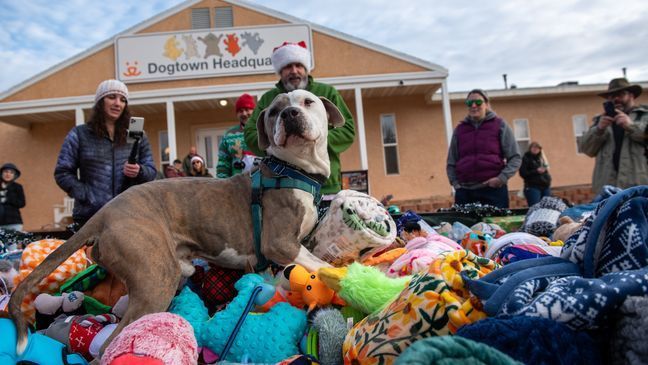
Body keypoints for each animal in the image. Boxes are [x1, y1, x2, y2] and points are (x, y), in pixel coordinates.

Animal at [10, 90, 342, 356]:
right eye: (274, 111)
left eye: (308, 102)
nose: (289, 114)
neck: (293, 168)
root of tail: (102, 215)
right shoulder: (281, 244)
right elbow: (321, 264)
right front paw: (344, 276)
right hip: (156, 278)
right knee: (110, 344)